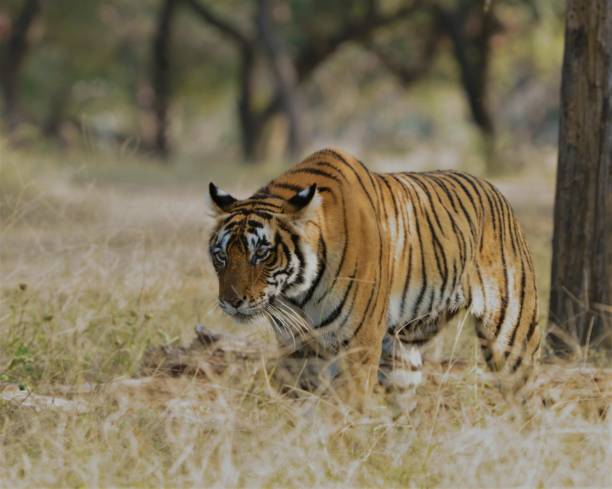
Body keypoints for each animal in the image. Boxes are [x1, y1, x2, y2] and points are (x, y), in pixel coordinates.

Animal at [207, 149, 540, 400]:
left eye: (261, 254)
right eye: (221, 256)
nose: (231, 302)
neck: (297, 292)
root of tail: (493, 188)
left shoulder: (359, 342)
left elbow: (343, 403)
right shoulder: (299, 347)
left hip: (511, 337)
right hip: (402, 355)